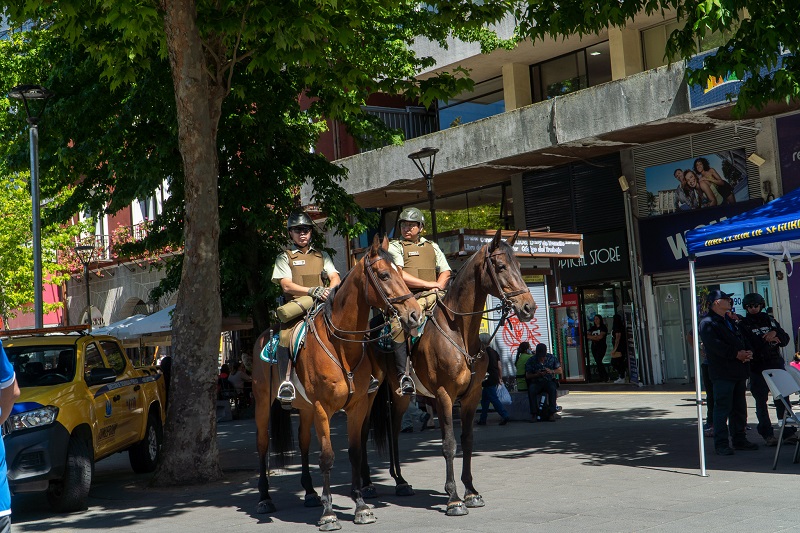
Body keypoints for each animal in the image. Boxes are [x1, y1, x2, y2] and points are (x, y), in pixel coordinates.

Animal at [253, 235, 422, 528]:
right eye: (384, 275)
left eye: (402, 273)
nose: (414, 314)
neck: (342, 346)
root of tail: (263, 336)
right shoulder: (323, 409)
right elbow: (328, 457)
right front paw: (329, 513)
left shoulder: (356, 406)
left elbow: (354, 452)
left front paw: (361, 505)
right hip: (263, 404)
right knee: (263, 445)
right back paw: (265, 498)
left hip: (305, 409)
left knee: (304, 443)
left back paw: (310, 493)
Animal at [366, 231, 536, 512]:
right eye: (501, 266)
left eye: (520, 267)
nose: (529, 308)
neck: (459, 333)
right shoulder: (445, 395)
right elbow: (449, 444)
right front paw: (454, 498)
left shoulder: (471, 397)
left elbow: (467, 441)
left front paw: (471, 491)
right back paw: (369, 485)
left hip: (400, 398)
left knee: (393, 430)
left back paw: (400, 481)